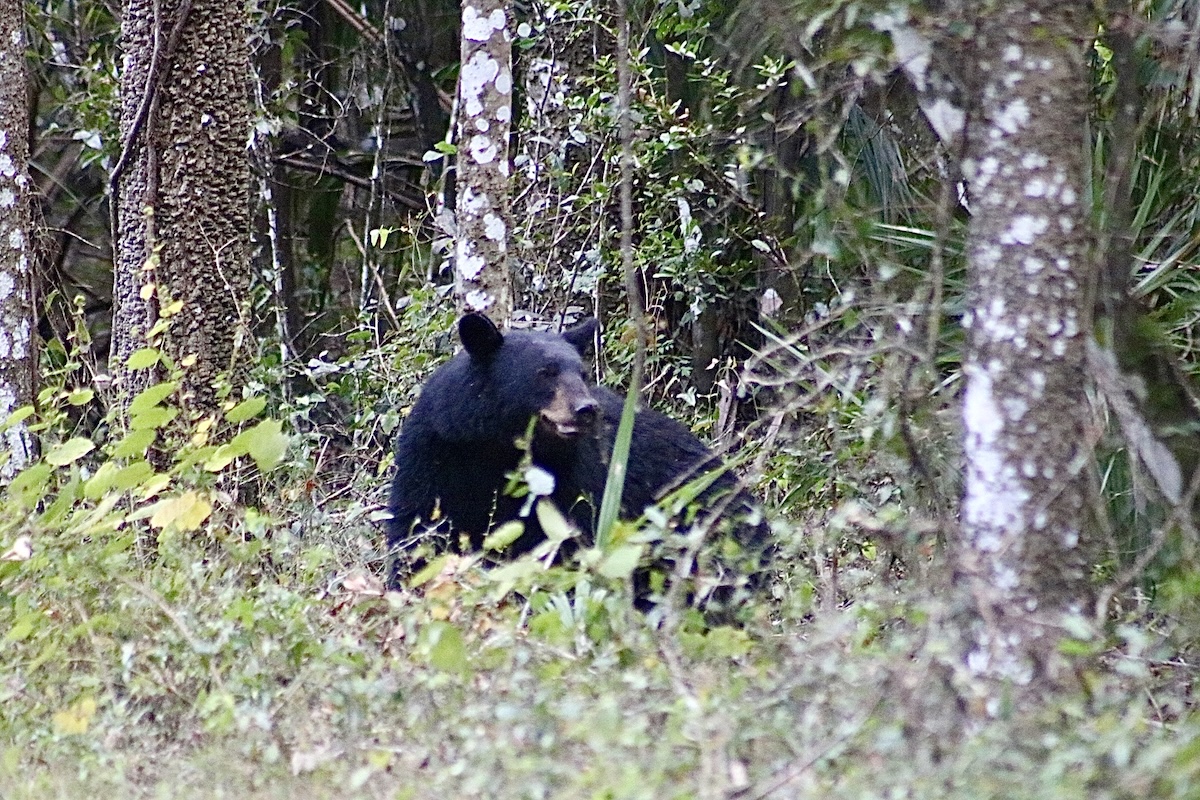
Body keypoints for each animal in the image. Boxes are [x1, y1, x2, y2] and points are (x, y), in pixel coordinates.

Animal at [388, 316, 763, 585]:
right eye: (545, 373)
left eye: (582, 372)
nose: (586, 409)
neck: (495, 448)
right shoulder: (435, 455)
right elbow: (417, 530)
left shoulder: (575, 479)